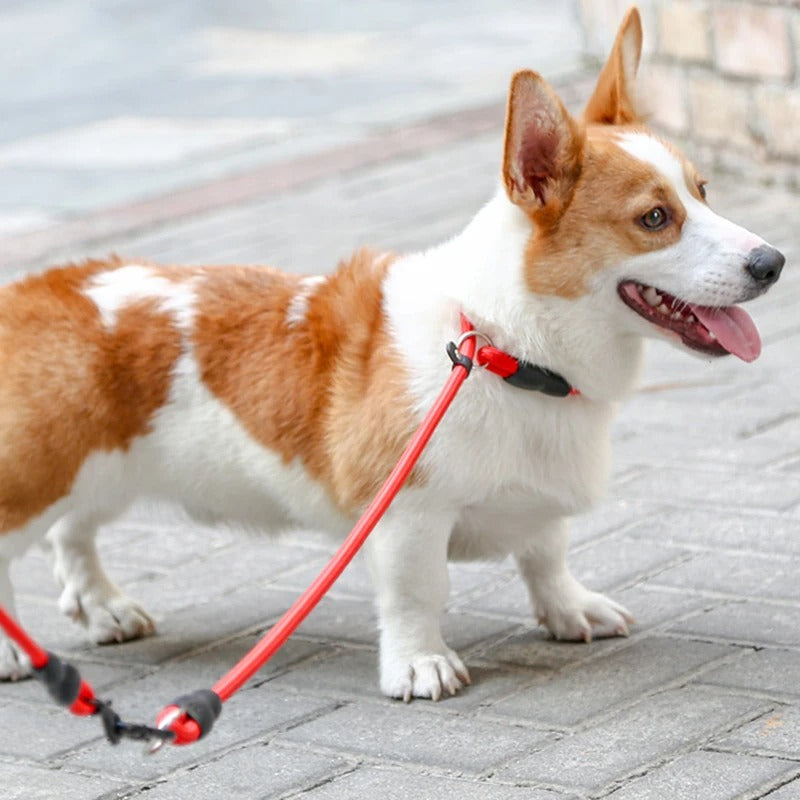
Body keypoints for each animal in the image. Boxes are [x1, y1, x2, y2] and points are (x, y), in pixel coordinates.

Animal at [0, 7, 784, 700]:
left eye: (704, 192)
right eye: (654, 218)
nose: (773, 263)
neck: (506, 348)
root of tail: (35, 286)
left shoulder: (539, 507)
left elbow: (546, 553)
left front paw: (569, 610)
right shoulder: (409, 511)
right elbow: (418, 592)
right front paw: (419, 665)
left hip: (99, 468)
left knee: (73, 534)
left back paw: (103, 607)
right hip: (45, 469)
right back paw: (16, 652)